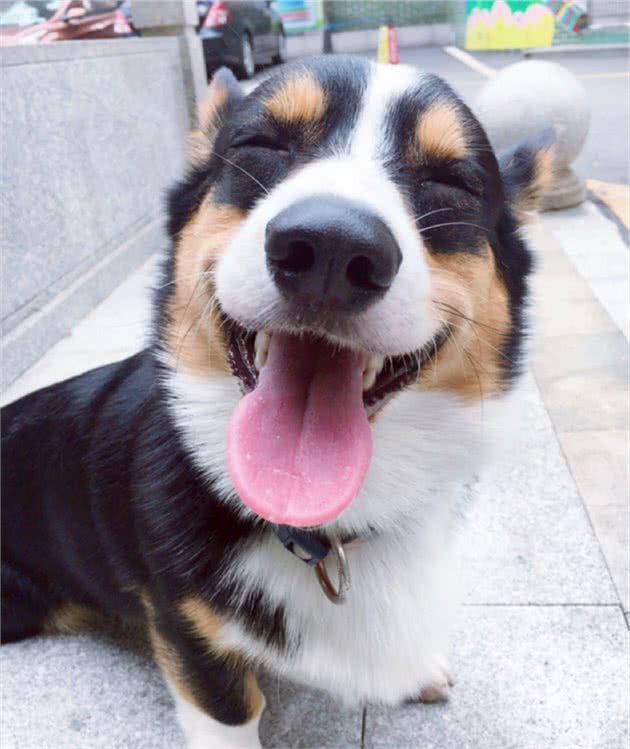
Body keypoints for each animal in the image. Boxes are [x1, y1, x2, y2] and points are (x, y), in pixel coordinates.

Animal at [1, 57, 553, 748]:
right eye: (261, 145)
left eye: (449, 181)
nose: (333, 248)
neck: (326, 529)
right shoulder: (189, 638)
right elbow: (232, 710)